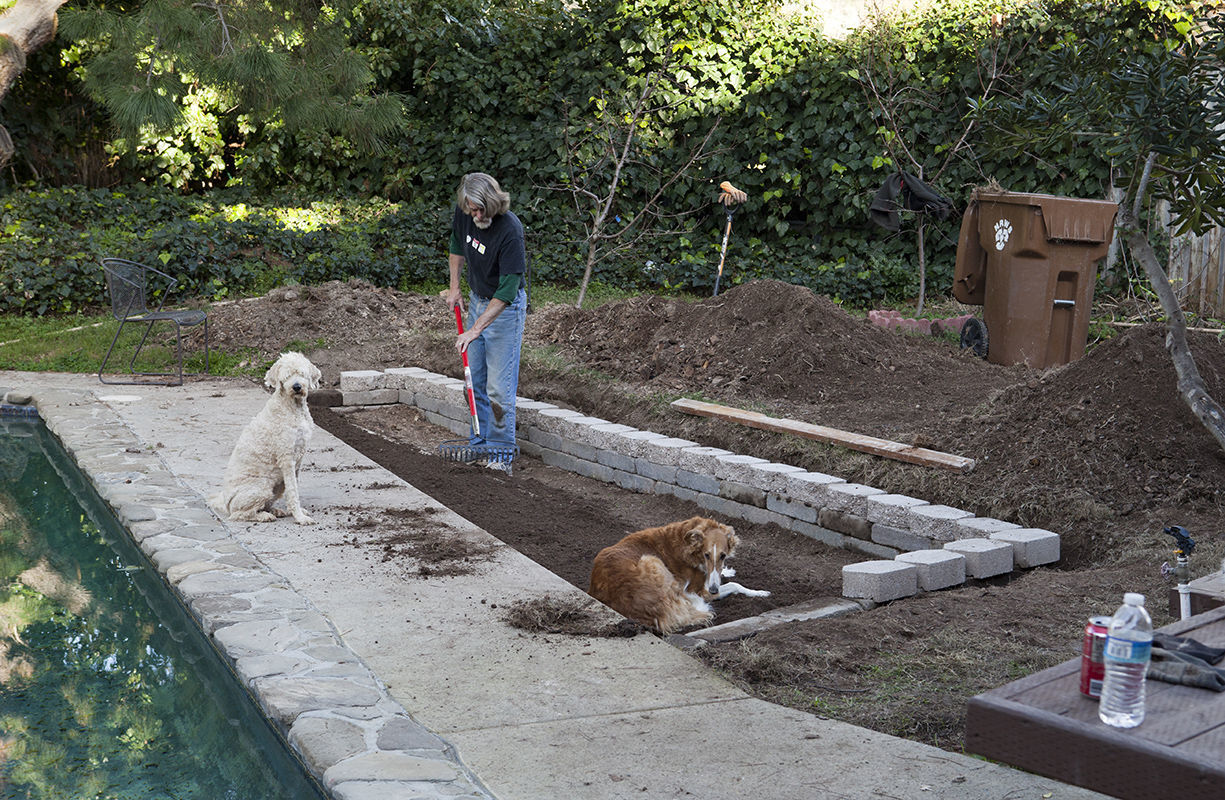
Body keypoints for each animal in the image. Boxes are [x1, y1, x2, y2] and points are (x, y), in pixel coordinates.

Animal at [213, 350, 323, 524]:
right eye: (287, 376)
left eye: (301, 373)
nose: (297, 387)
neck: (293, 408)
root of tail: (225, 503)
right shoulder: (286, 458)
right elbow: (293, 491)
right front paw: (300, 517)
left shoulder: (298, 458)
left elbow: (294, 487)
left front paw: (298, 512)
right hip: (261, 488)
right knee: (239, 514)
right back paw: (264, 516)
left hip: (277, 486)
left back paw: (276, 510)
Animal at [588, 514, 769, 632]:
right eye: (706, 554)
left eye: (723, 556)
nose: (713, 590)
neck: (689, 545)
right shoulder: (700, 590)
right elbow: (735, 584)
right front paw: (759, 592)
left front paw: (728, 571)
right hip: (651, 560)